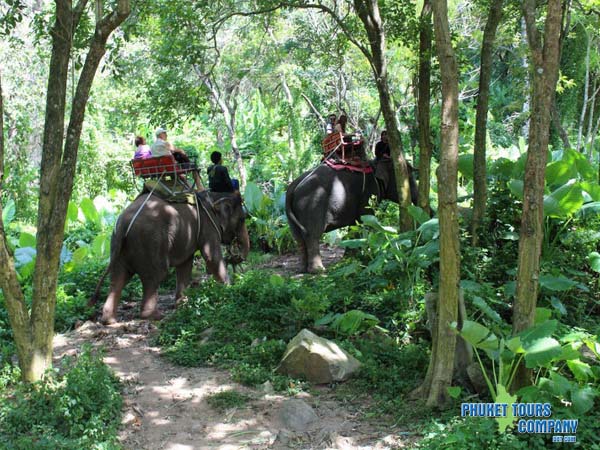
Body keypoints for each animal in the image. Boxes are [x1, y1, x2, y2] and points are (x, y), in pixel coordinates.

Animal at [95, 190, 248, 324]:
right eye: (242, 219)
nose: (235, 255)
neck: (214, 194)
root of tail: (124, 224)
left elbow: (185, 264)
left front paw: (182, 304)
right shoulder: (208, 225)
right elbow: (212, 257)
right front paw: (229, 290)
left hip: (117, 246)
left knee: (118, 278)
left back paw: (109, 320)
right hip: (149, 243)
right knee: (155, 276)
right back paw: (155, 316)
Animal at [286, 160, 418, 272]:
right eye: (409, 178)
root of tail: (292, 187)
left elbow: (354, 225)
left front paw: (349, 258)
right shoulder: (368, 194)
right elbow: (365, 220)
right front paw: (360, 257)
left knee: (298, 237)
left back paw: (302, 270)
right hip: (312, 204)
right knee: (312, 235)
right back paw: (318, 271)